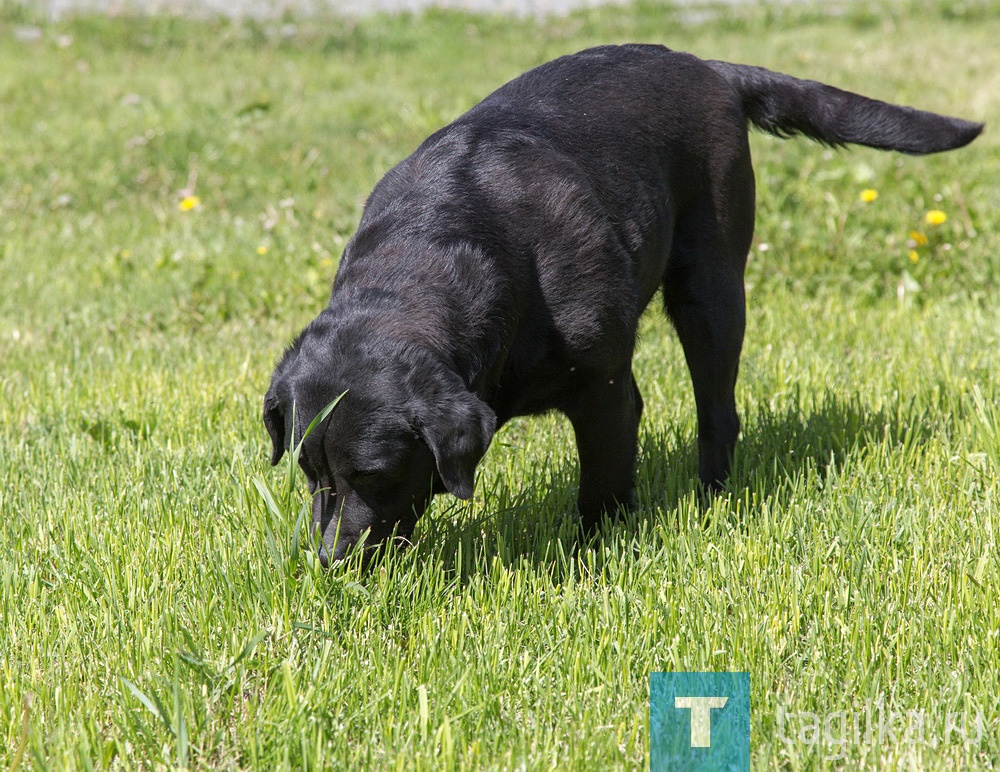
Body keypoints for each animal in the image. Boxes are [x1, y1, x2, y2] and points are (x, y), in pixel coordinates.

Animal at [262, 45, 980, 564]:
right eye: (308, 471)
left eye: (374, 473)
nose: (327, 562)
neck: (432, 251)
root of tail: (709, 67)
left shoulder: (603, 389)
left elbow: (601, 487)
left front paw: (591, 557)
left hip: (711, 288)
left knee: (718, 411)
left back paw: (711, 499)